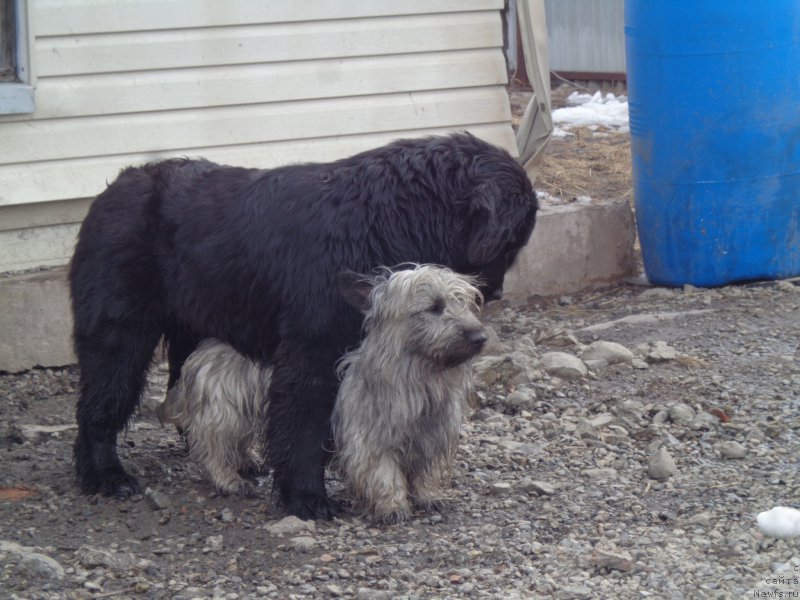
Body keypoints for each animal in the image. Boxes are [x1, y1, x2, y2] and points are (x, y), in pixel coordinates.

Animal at [156, 262, 482, 520]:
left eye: (464, 303)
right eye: (434, 307)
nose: (480, 336)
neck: (420, 379)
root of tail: (202, 351)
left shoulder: (431, 438)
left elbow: (425, 472)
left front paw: (428, 496)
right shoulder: (369, 441)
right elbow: (383, 473)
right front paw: (392, 506)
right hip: (225, 412)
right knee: (213, 447)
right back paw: (229, 480)